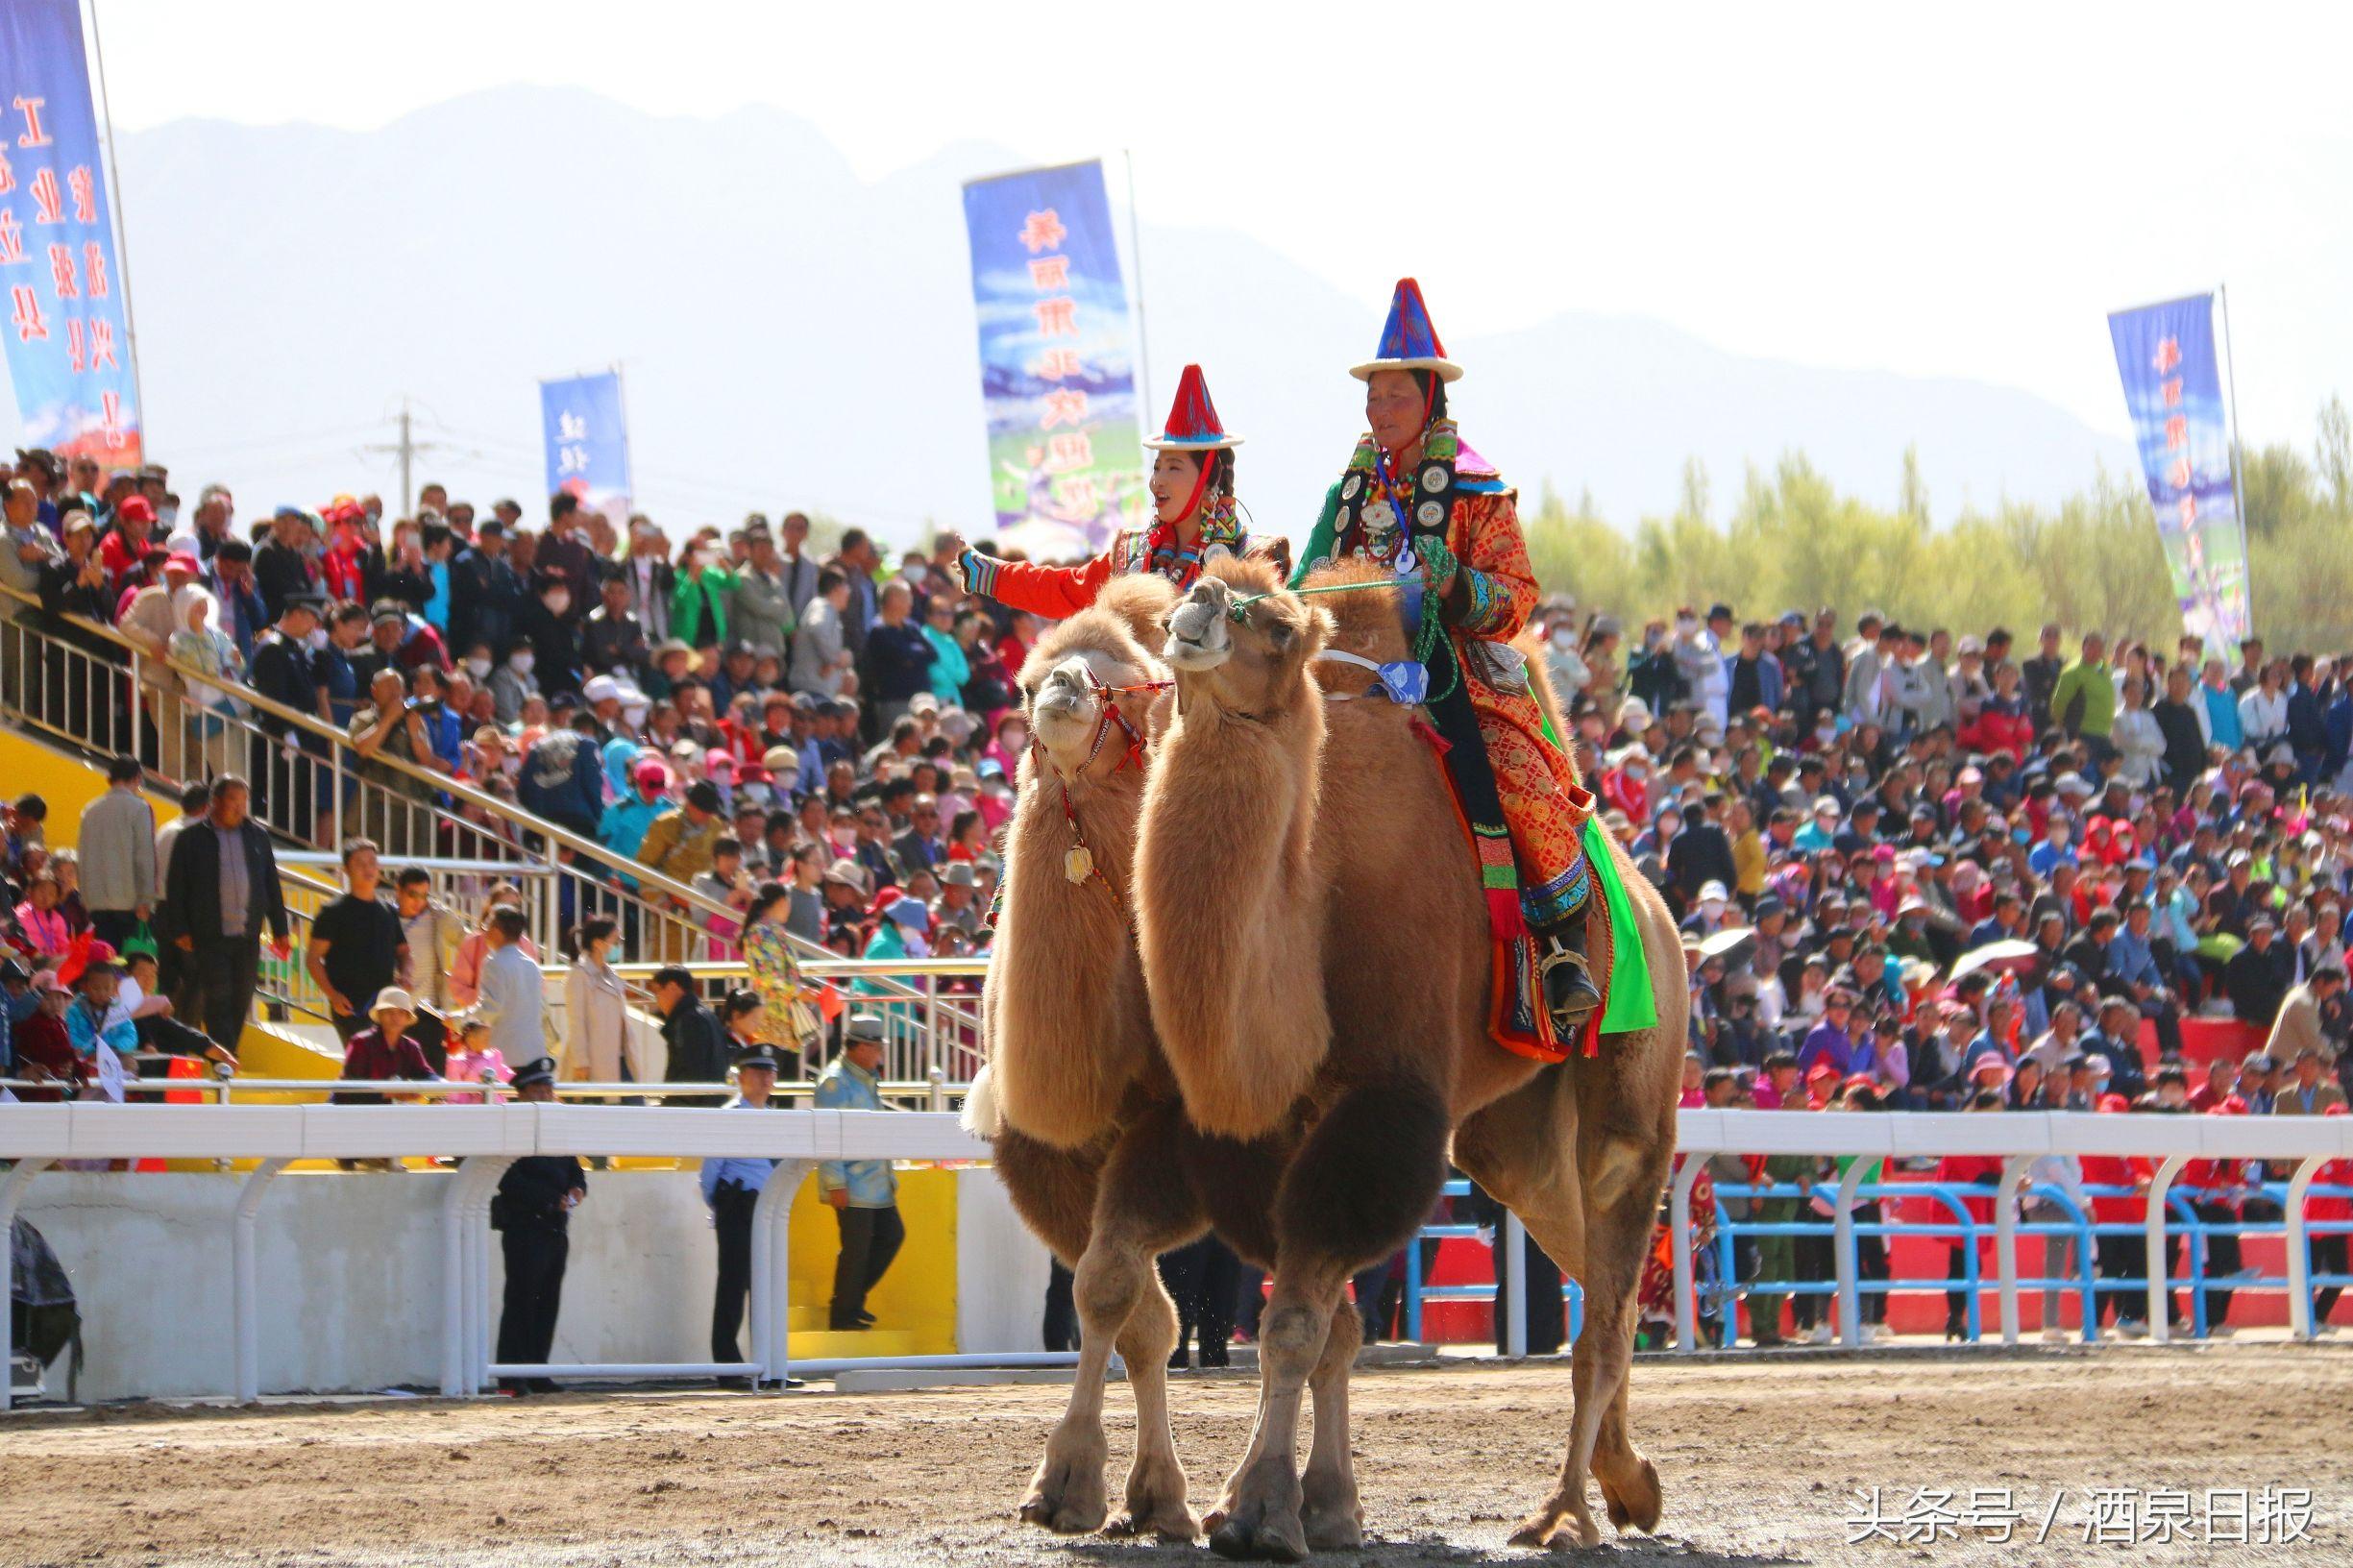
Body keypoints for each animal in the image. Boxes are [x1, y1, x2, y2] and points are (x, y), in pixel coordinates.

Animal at [1129, 552, 1684, 1554]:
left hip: (1632, 1085)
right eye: (1192, 580)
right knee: (1587, 1264)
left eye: (1277, 622)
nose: (1194, 614)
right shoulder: (1286, 1117)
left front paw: (1262, 1511)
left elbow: (1297, 1320)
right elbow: (1321, 1320)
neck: (1313, 895)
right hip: (1514, 1136)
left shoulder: (1385, 1097)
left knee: (1607, 1299)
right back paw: (1631, 1483)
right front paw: (1297, 1504)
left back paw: (1564, 1512)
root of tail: (1653, 906)